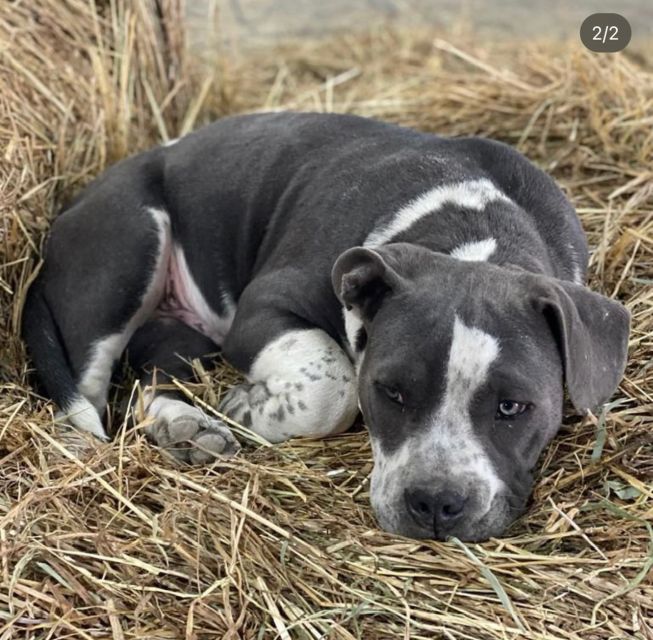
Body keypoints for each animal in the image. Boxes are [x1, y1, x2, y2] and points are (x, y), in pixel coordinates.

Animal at [22, 111, 628, 540]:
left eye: (513, 407)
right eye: (391, 391)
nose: (435, 503)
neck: (471, 234)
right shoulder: (263, 306)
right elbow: (332, 385)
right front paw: (252, 406)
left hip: (177, 333)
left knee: (149, 380)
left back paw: (184, 427)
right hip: (127, 250)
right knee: (89, 386)